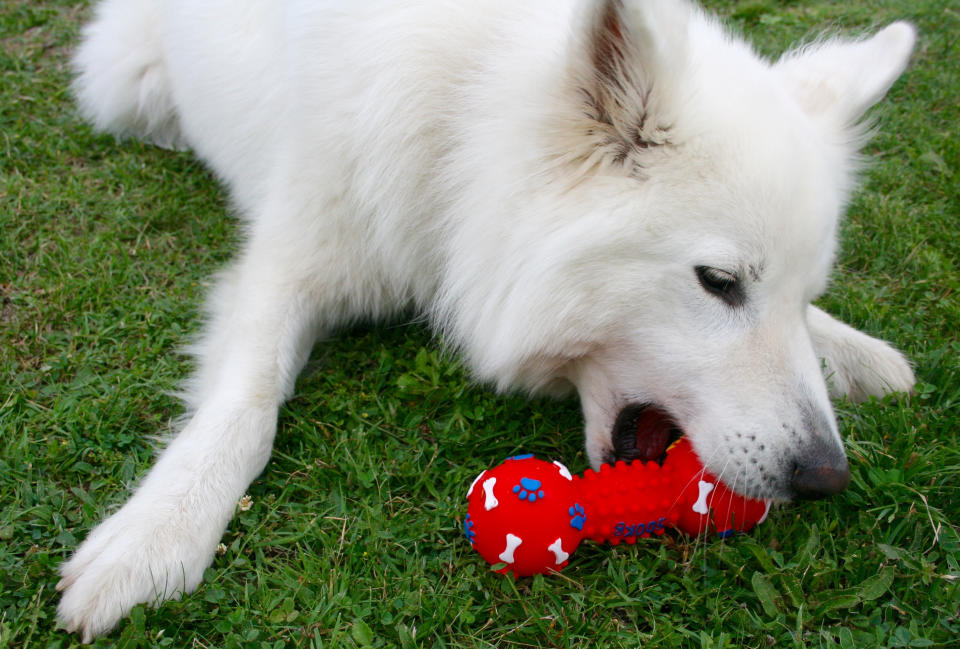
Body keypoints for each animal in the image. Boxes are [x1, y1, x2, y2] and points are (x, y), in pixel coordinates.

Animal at [58, 0, 916, 636]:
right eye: (719, 282)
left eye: (802, 294)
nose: (827, 476)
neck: (466, 115)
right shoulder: (288, 262)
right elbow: (247, 403)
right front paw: (160, 528)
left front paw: (855, 349)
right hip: (126, 81)